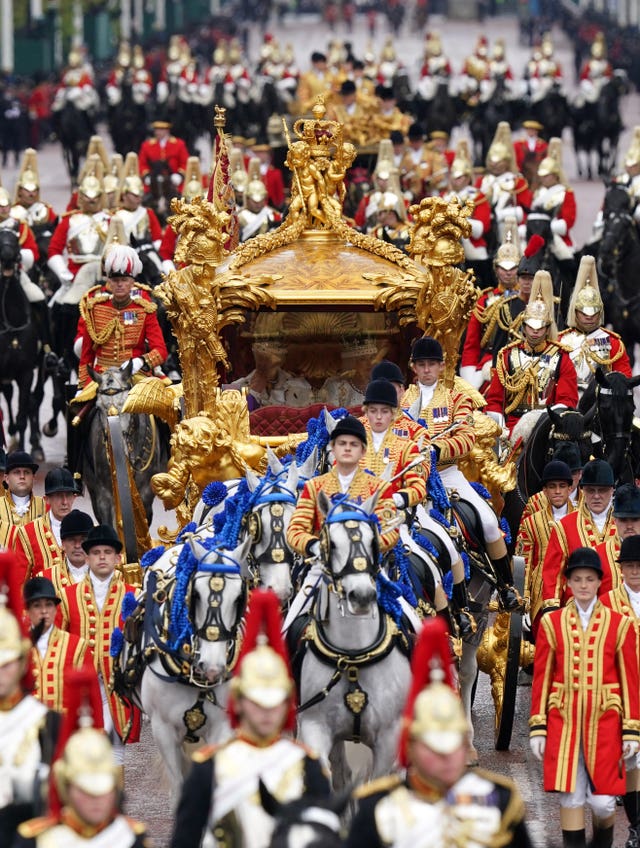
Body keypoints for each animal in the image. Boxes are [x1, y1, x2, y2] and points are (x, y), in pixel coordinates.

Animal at [294, 494, 410, 792]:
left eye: (372, 542)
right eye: (332, 543)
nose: (362, 596)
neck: (353, 655)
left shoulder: (389, 739)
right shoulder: (314, 726)